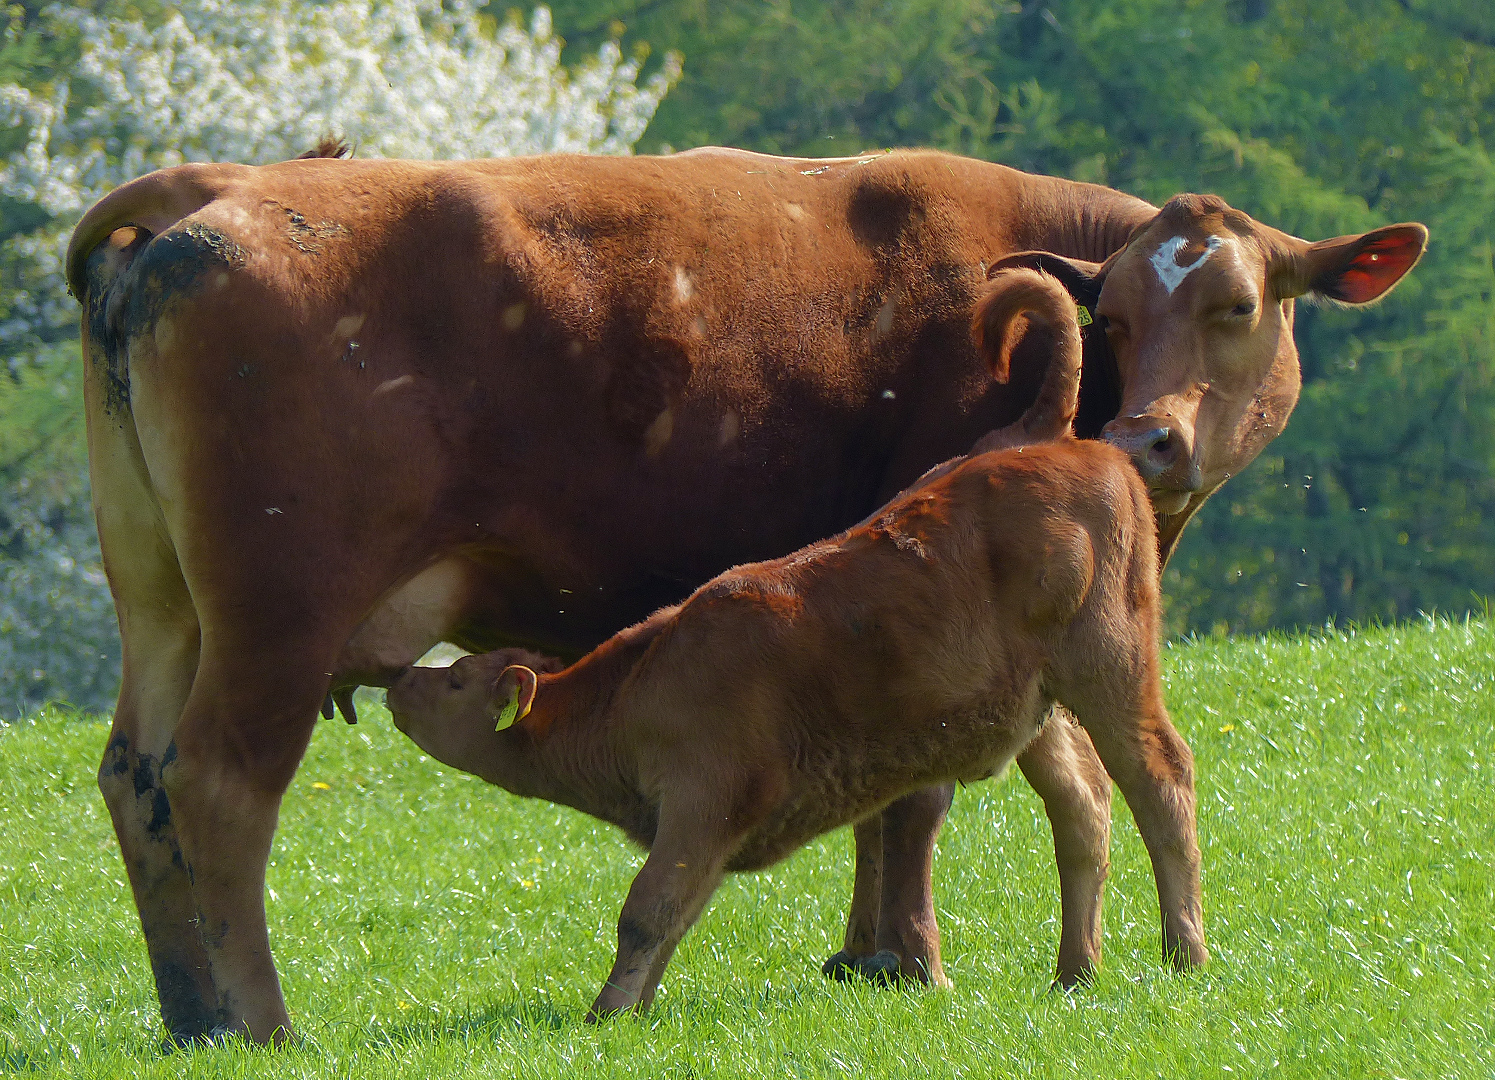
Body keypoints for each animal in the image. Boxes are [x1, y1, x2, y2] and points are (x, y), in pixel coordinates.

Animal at [385, 269, 1201, 1017]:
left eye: (454, 680)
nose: (396, 683)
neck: (639, 687)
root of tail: (1048, 439)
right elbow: (674, 918)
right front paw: (638, 1010)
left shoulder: (703, 800)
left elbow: (647, 910)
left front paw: (604, 1015)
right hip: (1041, 708)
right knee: (1083, 806)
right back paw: (1075, 973)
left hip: (1111, 664)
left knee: (1160, 779)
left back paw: (1184, 956)